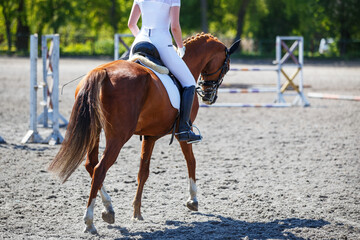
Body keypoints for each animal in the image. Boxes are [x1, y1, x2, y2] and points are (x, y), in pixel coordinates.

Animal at [47, 32, 239, 233]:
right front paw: (193, 200)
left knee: (90, 165)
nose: (210, 97)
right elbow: (191, 162)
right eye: (226, 66)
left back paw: (108, 208)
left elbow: (143, 172)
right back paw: (90, 221)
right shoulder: (183, 132)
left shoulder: (149, 136)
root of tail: (101, 72)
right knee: (99, 169)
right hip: (118, 137)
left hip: (96, 132)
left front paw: (137, 212)